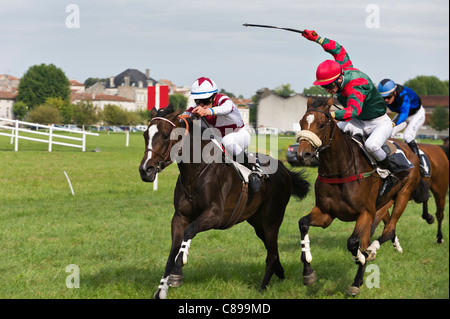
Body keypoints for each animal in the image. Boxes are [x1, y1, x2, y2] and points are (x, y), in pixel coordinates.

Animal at [139, 106, 312, 298]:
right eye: (145, 134)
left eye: (165, 135)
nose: (145, 170)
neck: (196, 173)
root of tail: (284, 169)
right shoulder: (179, 217)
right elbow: (173, 251)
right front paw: (161, 290)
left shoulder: (216, 215)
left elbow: (189, 231)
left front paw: (177, 273)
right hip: (257, 222)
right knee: (271, 248)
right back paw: (280, 273)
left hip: (272, 219)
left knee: (272, 253)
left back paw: (262, 287)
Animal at [298, 97, 420, 296]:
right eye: (301, 123)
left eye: (322, 124)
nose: (303, 153)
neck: (339, 171)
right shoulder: (326, 213)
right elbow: (303, 223)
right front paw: (308, 271)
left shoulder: (365, 213)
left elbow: (353, 242)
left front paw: (362, 258)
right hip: (383, 203)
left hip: (403, 194)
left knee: (389, 229)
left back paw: (369, 256)